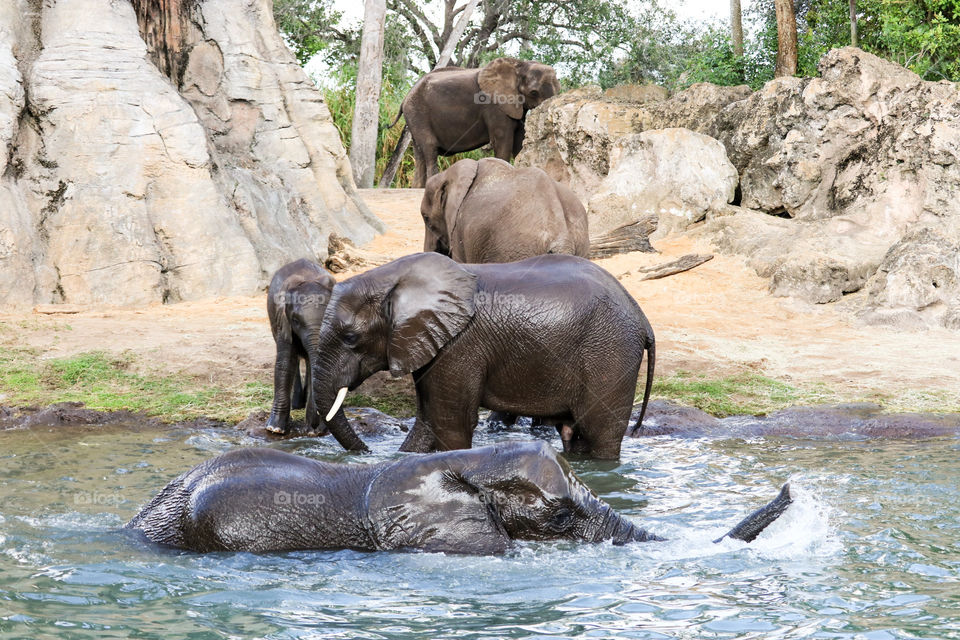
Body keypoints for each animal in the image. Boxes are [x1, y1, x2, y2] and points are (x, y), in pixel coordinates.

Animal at [264, 259, 366, 450]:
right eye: (296, 320)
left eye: (328, 316)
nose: (318, 428)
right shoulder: (282, 321)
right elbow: (285, 362)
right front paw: (275, 429)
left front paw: (313, 431)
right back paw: (297, 404)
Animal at [311, 252, 655, 460]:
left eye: (351, 338)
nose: (367, 453)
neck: (395, 279)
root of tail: (641, 316)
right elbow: (427, 423)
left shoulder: (458, 346)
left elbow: (451, 423)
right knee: (575, 433)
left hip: (610, 351)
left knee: (600, 433)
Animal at [390, 57, 560, 187]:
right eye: (533, 92)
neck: (519, 64)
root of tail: (405, 97)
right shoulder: (494, 105)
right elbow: (503, 140)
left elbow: (520, 141)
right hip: (417, 113)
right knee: (429, 148)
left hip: (413, 116)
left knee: (419, 153)